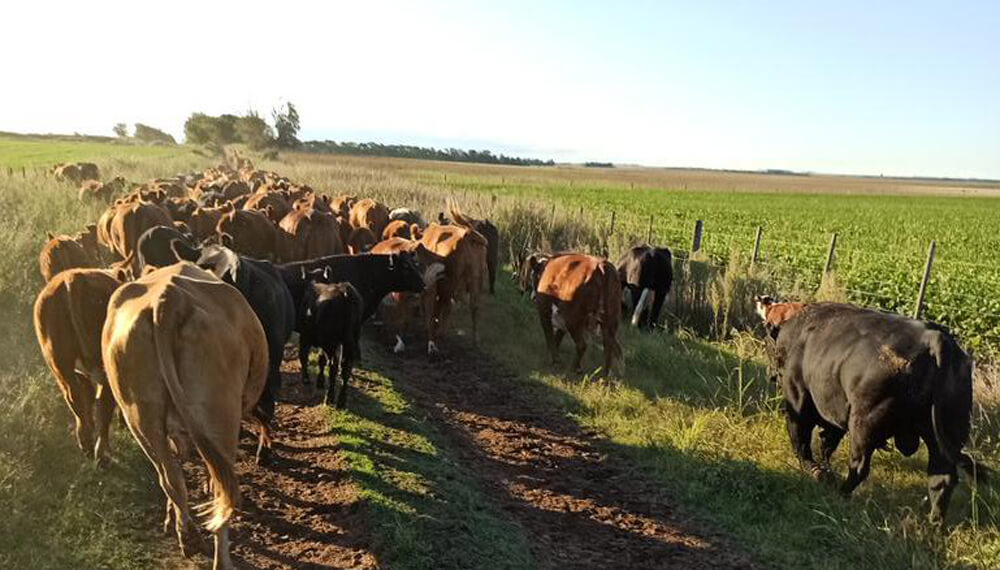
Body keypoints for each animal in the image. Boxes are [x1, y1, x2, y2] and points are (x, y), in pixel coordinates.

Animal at [33, 268, 121, 462]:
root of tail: (72, 277)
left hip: (59, 362)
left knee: (75, 397)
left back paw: (87, 443)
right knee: (104, 401)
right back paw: (101, 453)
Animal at [102, 260, 270, 564]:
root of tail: (168, 299)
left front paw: (170, 518)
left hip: (140, 416)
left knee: (169, 475)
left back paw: (187, 535)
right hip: (221, 415)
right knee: (221, 490)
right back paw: (220, 559)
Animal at [298, 272, 366, 406]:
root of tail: (345, 291)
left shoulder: (305, 335)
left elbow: (304, 356)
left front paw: (306, 379)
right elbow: (321, 359)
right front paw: (319, 382)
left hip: (330, 342)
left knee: (334, 365)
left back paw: (329, 398)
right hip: (349, 341)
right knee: (346, 366)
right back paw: (341, 401)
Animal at [418, 222, 488, 350]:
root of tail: (468, 234)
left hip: (451, 283)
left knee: (445, 304)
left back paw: (440, 332)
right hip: (476, 281)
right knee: (474, 308)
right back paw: (475, 340)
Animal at [768, 304, 988, 520]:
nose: (772, 375)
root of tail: (935, 339)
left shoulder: (798, 402)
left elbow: (802, 441)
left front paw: (814, 471)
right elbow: (827, 442)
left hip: (864, 426)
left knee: (859, 467)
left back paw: (841, 494)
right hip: (945, 432)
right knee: (941, 477)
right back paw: (935, 522)